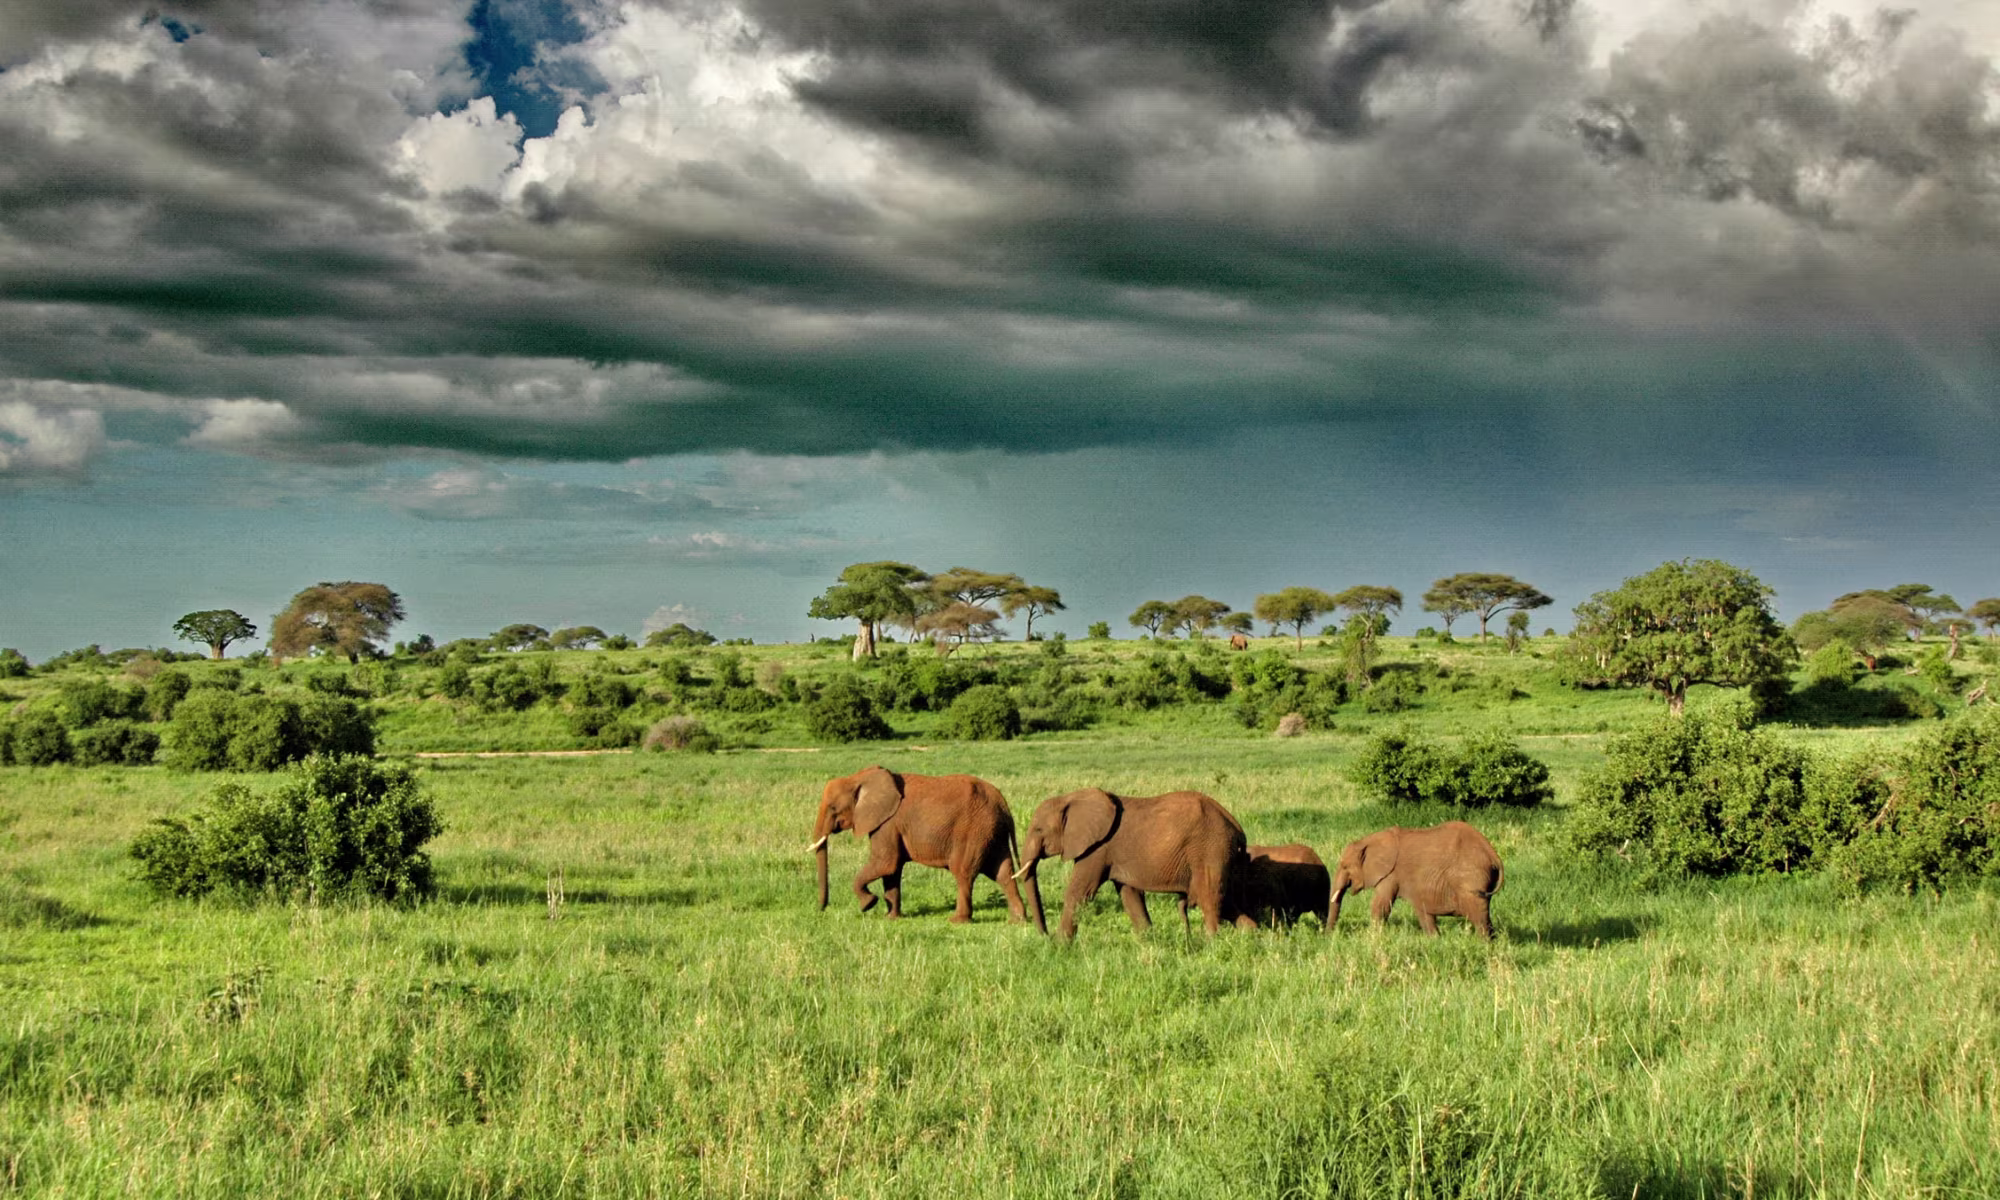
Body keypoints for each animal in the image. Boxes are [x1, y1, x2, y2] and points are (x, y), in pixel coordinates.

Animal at [809, 766, 1039, 926]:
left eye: (833, 808)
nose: (821, 909)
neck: (859, 778)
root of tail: (1003, 803)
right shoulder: (888, 825)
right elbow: (892, 871)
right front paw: (891, 918)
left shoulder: (887, 824)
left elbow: (886, 863)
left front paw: (868, 904)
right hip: (992, 832)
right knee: (1003, 873)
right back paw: (1017, 921)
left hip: (974, 831)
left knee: (963, 873)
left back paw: (957, 921)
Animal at [1014, 788, 1253, 940]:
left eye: (1038, 830)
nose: (1044, 935)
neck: (1070, 798)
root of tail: (1236, 827)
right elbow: (1130, 895)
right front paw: (1149, 940)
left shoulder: (1097, 849)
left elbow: (1079, 892)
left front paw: (1060, 945)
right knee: (1226, 900)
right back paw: (1250, 937)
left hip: (1210, 850)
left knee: (1210, 898)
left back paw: (1211, 941)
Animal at [1330, 821, 1503, 938]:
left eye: (1345, 866)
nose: (1329, 935)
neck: (1368, 841)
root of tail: (1492, 852)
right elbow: (1423, 910)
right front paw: (1435, 940)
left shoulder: (1391, 874)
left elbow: (1380, 906)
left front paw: (1373, 937)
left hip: (1471, 878)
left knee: (1479, 917)